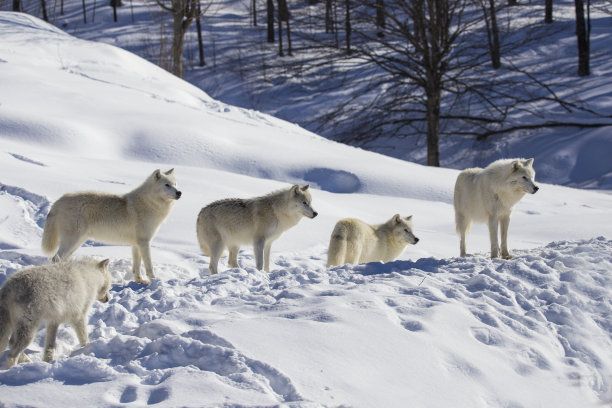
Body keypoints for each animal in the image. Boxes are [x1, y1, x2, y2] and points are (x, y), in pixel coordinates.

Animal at [41, 169, 182, 284]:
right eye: (167, 185)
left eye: (175, 184)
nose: (179, 193)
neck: (150, 203)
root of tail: (59, 201)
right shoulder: (144, 242)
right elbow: (149, 265)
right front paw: (154, 280)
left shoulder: (136, 244)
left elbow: (136, 266)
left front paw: (140, 281)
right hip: (72, 241)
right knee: (55, 259)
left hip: (77, 242)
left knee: (61, 259)